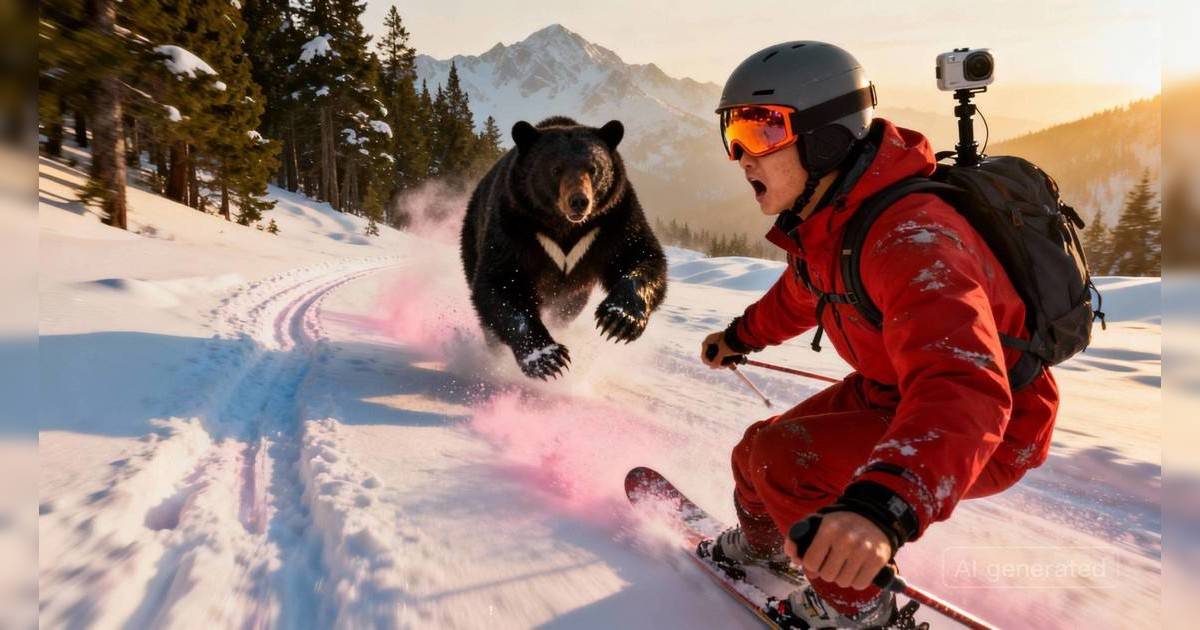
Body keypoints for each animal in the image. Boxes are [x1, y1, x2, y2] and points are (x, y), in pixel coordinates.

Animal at [460, 116, 668, 379]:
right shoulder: (514, 219)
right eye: (556, 169)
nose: (579, 201)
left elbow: (639, 255)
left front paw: (619, 319)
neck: (564, 226)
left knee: (567, 309)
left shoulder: (613, 218)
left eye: (593, 168)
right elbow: (501, 281)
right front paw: (547, 357)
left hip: (575, 292)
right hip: (472, 234)